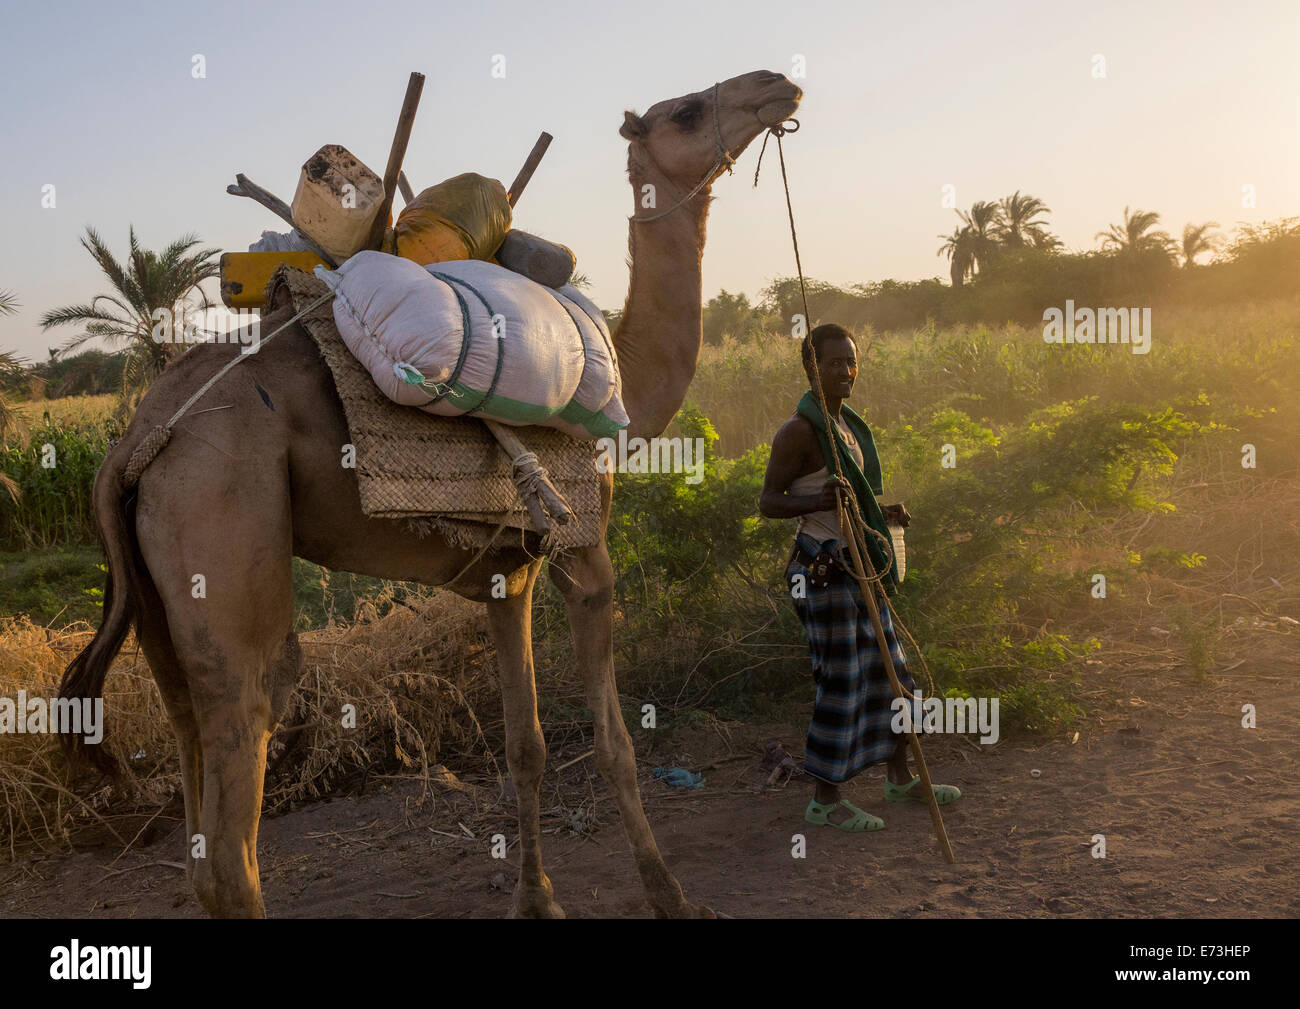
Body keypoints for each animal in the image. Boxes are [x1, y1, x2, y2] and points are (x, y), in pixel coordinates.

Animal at [61, 66, 800, 915]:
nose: (775, 85)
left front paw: (537, 896)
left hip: (158, 607)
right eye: (686, 110)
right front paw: (671, 893)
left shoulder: (512, 571)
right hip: (222, 525)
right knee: (238, 813)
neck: (628, 391)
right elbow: (613, 743)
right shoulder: (585, 553)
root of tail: (134, 445)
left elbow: (526, 745)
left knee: (192, 791)